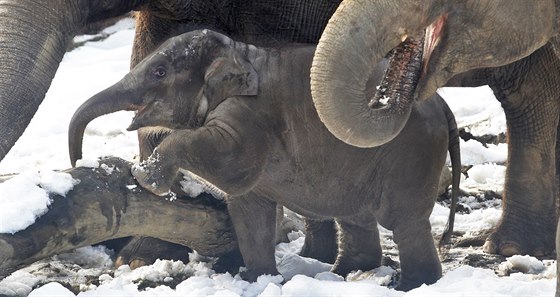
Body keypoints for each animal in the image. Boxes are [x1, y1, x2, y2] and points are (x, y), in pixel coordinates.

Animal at [69, 29, 460, 290]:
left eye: (159, 72)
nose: (77, 161)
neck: (239, 52)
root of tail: (442, 103)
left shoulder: (250, 116)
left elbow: (233, 167)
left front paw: (142, 176)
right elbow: (248, 206)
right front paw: (259, 279)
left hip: (411, 153)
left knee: (403, 220)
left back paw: (411, 285)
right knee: (356, 216)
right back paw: (345, 273)